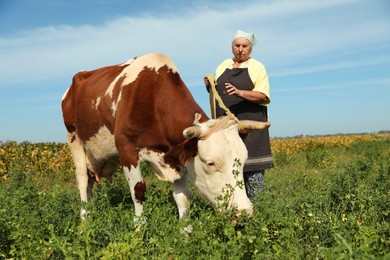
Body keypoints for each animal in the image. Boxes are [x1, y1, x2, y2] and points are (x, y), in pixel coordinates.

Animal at [61, 53, 272, 223]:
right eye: (210, 163)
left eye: (243, 161)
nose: (244, 212)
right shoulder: (126, 148)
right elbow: (138, 191)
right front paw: (139, 229)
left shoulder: (177, 155)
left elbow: (183, 197)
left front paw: (186, 232)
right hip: (74, 139)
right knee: (82, 181)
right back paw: (85, 221)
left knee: (89, 183)